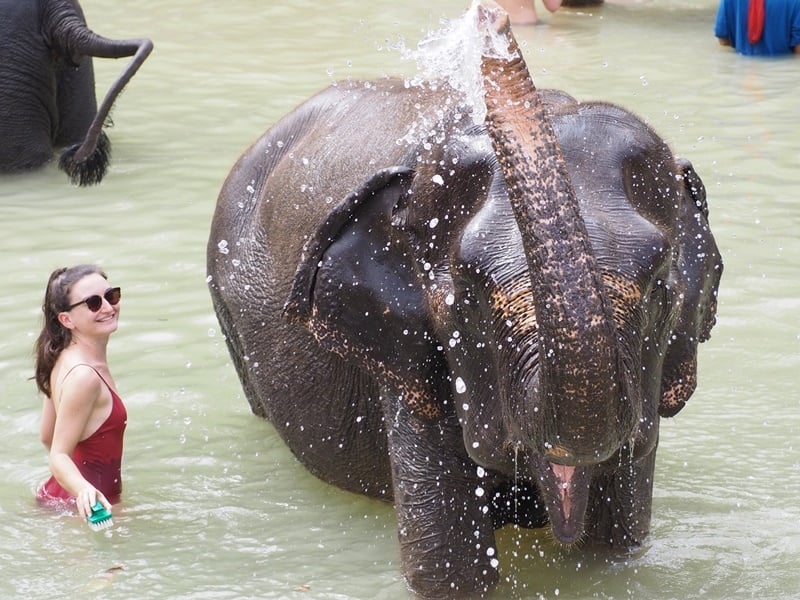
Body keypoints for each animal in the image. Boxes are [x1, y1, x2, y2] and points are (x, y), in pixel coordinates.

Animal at [207, 3, 722, 597]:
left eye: (659, 286)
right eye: (470, 293)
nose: (492, 17)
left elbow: (617, 544)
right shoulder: (406, 355)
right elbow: (449, 572)